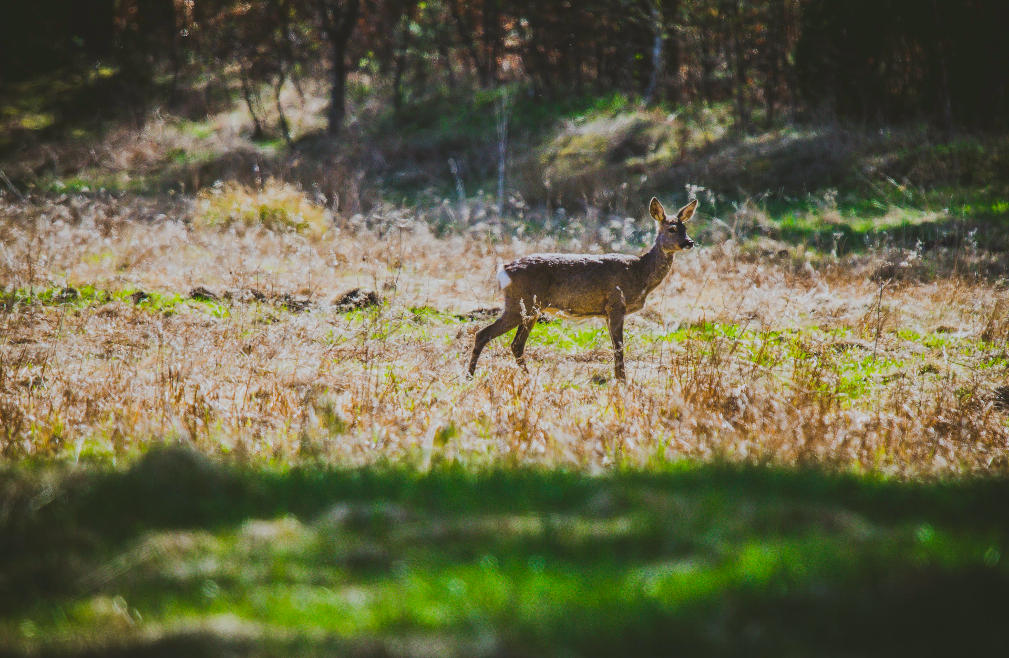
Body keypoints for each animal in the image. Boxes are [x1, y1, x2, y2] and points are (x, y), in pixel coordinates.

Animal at [466, 196, 694, 379]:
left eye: (686, 228)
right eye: (671, 229)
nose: (689, 242)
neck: (640, 272)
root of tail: (504, 269)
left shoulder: (607, 312)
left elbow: (615, 346)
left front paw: (619, 379)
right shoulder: (616, 304)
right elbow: (619, 348)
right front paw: (622, 382)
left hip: (530, 309)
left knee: (516, 344)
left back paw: (526, 378)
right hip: (520, 304)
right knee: (483, 334)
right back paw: (470, 376)